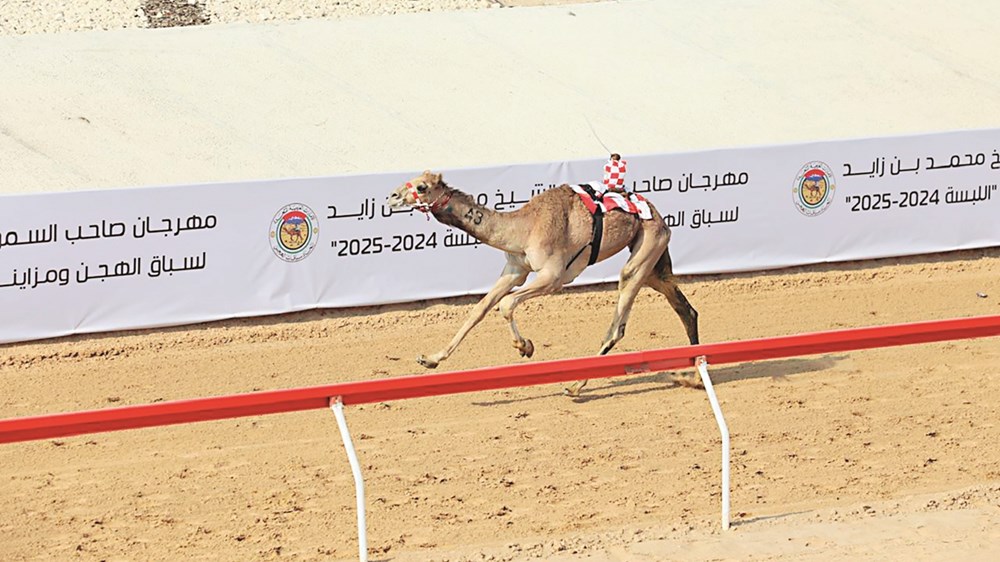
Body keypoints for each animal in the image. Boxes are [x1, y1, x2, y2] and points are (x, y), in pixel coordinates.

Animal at [386, 164, 700, 396]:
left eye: (422, 187)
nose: (391, 196)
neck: (523, 227)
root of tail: (657, 215)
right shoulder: (515, 268)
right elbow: (480, 309)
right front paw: (430, 359)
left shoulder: (553, 276)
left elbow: (506, 304)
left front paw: (525, 346)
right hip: (654, 266)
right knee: (686, 309)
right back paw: (695, 376)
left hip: (643, 253)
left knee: (618, 326)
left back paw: (575, 386)